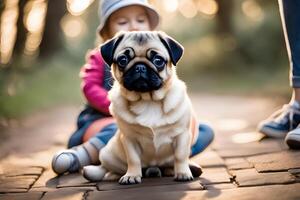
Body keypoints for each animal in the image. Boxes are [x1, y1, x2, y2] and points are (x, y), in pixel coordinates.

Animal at [82, 30, 199, 184]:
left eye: (158, 61)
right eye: (123, 60)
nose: (140, 66)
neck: (147, 100)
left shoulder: (182, 135)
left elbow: (180, 156)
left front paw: (183, 173)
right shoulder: (129, 139)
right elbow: (133, 159)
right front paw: (131, 175)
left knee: (167, 165)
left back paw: (165, 170)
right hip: (107, 154)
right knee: (108, 167)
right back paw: (113, 175)